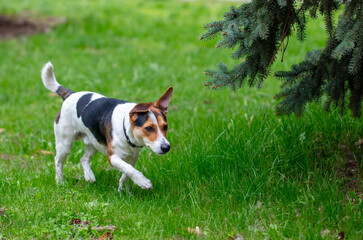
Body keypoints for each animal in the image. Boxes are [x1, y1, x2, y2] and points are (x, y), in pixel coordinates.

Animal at [41, 62, 173, 193]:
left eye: (165, 127)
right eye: (149, 128)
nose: (166, 147)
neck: (125, 129)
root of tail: (71, 95)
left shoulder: (133, 157)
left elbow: (126, 172)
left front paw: (123, 190)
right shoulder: (112, 156)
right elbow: (129, 169)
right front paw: (142, 181)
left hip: (94, 141)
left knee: (84, 159)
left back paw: (89, 176)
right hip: (65, 143)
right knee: (58, 161)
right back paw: (60, 182)